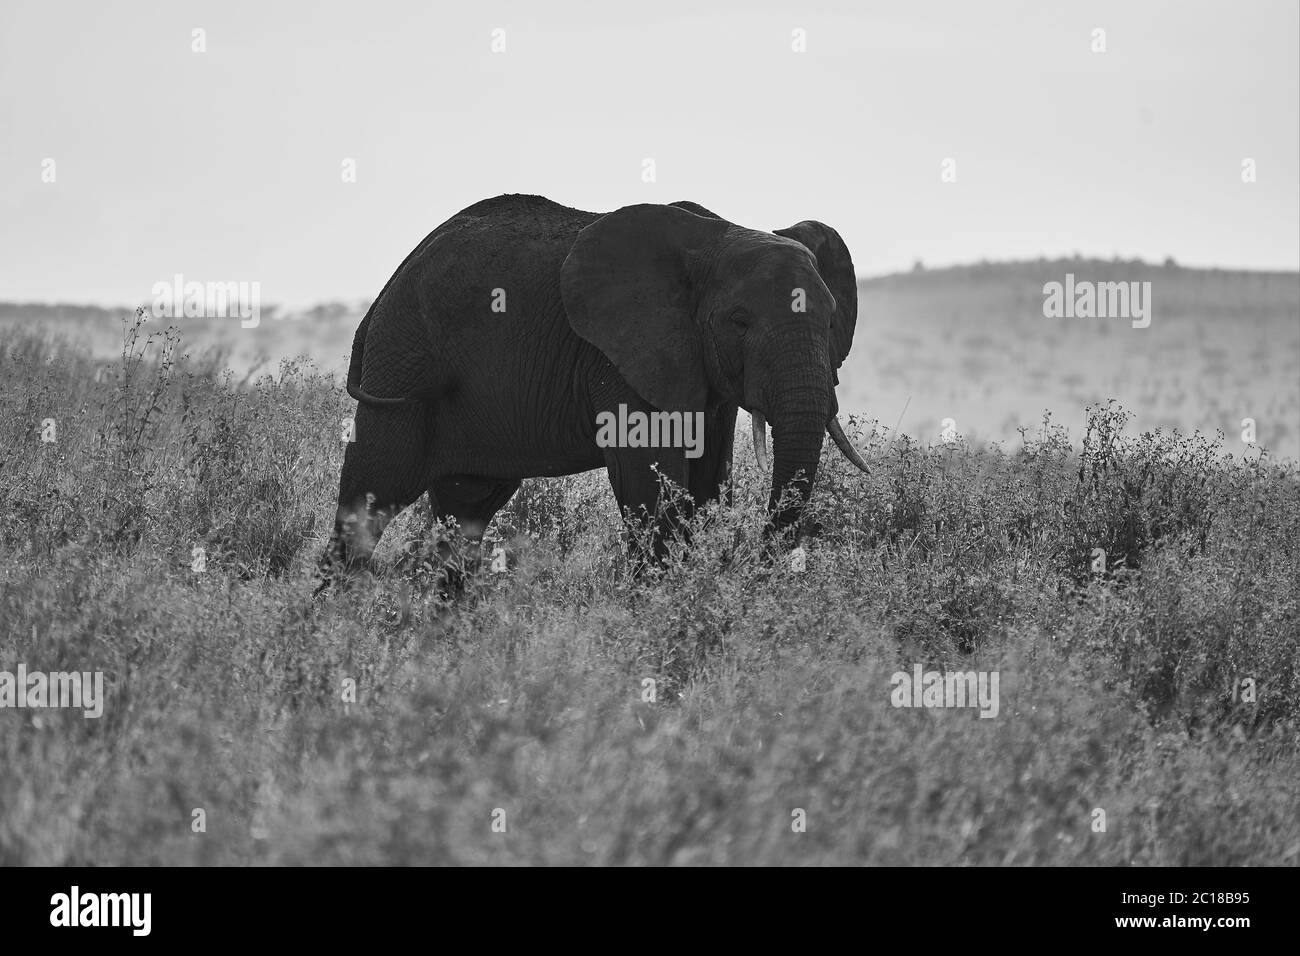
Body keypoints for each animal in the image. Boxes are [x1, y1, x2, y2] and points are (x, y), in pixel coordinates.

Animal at [320, 193, 869, 580]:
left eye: (831, 319)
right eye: (740, 321)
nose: (758, 569)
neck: (719, 237)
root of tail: (387, 288)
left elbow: (707, 482)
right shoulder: (619, 357)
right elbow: (649, 485)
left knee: (466, 509)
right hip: (402, 359)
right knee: (371, 497)